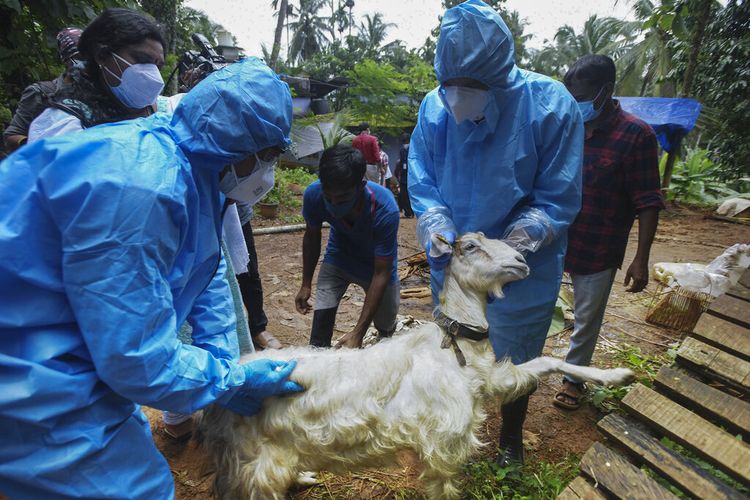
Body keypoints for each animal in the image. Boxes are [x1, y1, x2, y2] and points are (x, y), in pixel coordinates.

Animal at [198, 232, 636, 498]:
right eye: (470, 246)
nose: (520, 261)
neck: (455, 346)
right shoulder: (444, 440)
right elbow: (444, 488)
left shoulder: (489, 381)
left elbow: (543, 361)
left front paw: (617, 375)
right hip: (254, 457)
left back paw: (304, 475)